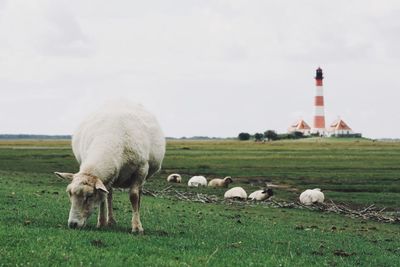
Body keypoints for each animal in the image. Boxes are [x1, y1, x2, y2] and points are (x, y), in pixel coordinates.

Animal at [54, 101, 165, 233]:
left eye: (89, 196)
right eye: (69, 193)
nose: (73, 224)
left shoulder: (141, 170)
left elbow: (134, 196)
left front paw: (137, 227)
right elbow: (103, 197)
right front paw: (102, 223)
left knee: (138, 194)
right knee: (109, 195)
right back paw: (110, 221)